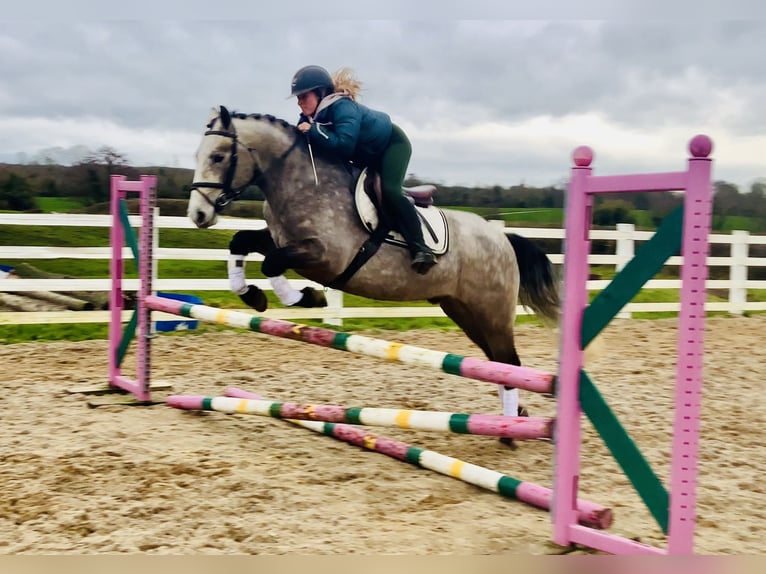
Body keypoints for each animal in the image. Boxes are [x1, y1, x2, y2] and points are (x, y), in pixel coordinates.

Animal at [187, 106, 560, 428]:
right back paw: (514, 418)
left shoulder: (325, 257)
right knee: (498, 363)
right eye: (198, 156)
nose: (198, 215)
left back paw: (510, 429)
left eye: (218, 157)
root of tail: (502, 238)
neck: (301, 184)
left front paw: (305, 298)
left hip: (492, 313)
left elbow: (271, 263)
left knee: (508, 362)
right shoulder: (280, 240)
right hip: (463, 311)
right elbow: (241, 242)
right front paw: (252, 295)